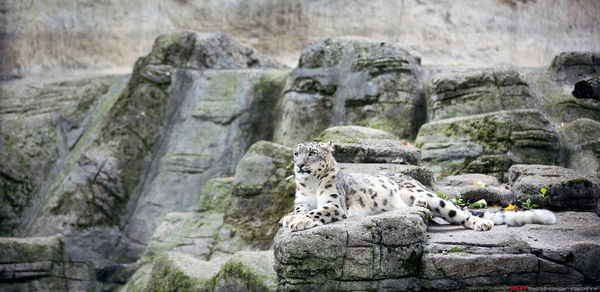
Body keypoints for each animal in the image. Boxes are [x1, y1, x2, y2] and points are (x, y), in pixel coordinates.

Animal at [278, 143, 556, 232]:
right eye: (296, 153)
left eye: (312, 153)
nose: (299, 165)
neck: (311, 185)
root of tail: (415, 181)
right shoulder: (301, 198)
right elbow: (300, 208)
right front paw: (290, 217)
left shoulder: (334, 202)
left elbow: (318, 211)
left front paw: (299, 222)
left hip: (433, 197)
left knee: (459, 213)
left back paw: (481, 223)